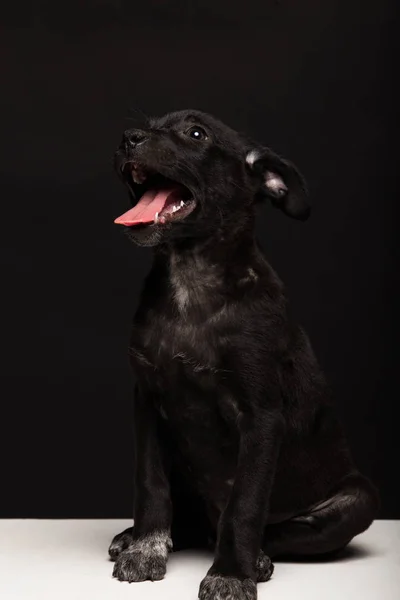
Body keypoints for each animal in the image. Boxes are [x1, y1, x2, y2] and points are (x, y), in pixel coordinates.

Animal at [108, 110, 378, 596]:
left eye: (196, 133)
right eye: (150, 123)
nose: (128, 137)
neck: (191, 281)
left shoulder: (261, 416)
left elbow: (245, 505)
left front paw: (232, 573)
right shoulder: (147, 402)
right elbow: (151, 487)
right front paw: (146, 547)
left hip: (359, 498)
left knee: (264, 528)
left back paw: (259, 557)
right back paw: (139, 536)